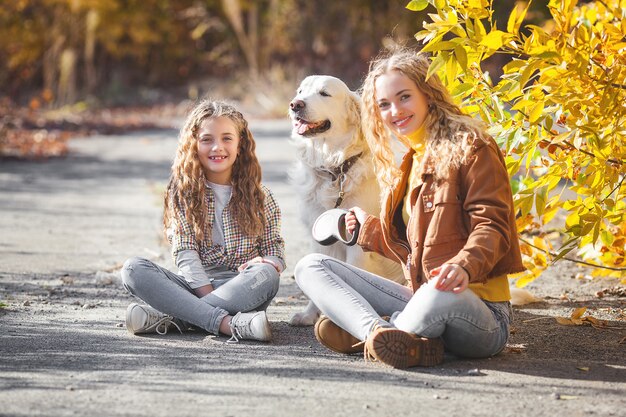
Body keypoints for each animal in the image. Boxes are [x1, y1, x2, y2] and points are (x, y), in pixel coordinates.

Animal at [288, 76, 404, 326]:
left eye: (324, 93)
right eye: (300, 91)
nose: (295, 105)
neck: (335, 169)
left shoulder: (358, 241)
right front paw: (309, 314)